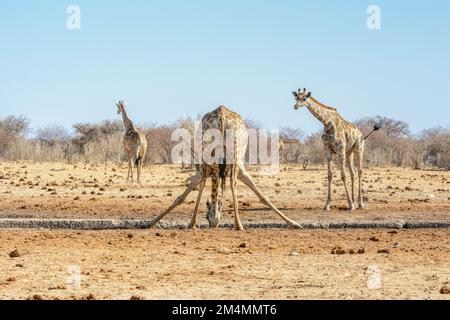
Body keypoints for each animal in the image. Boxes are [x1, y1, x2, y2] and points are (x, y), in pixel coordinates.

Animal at [149, 105, 302, 230]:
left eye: (206, 216)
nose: (213, 223)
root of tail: (221, 115)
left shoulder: (216, 170)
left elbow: (262, 197)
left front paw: (294, 223)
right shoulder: (236, 169)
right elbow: (181, 197)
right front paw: (150, 223)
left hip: (217, 158)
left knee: (211, 183)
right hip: (232, 156)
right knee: (230, 183)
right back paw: (237, 224)